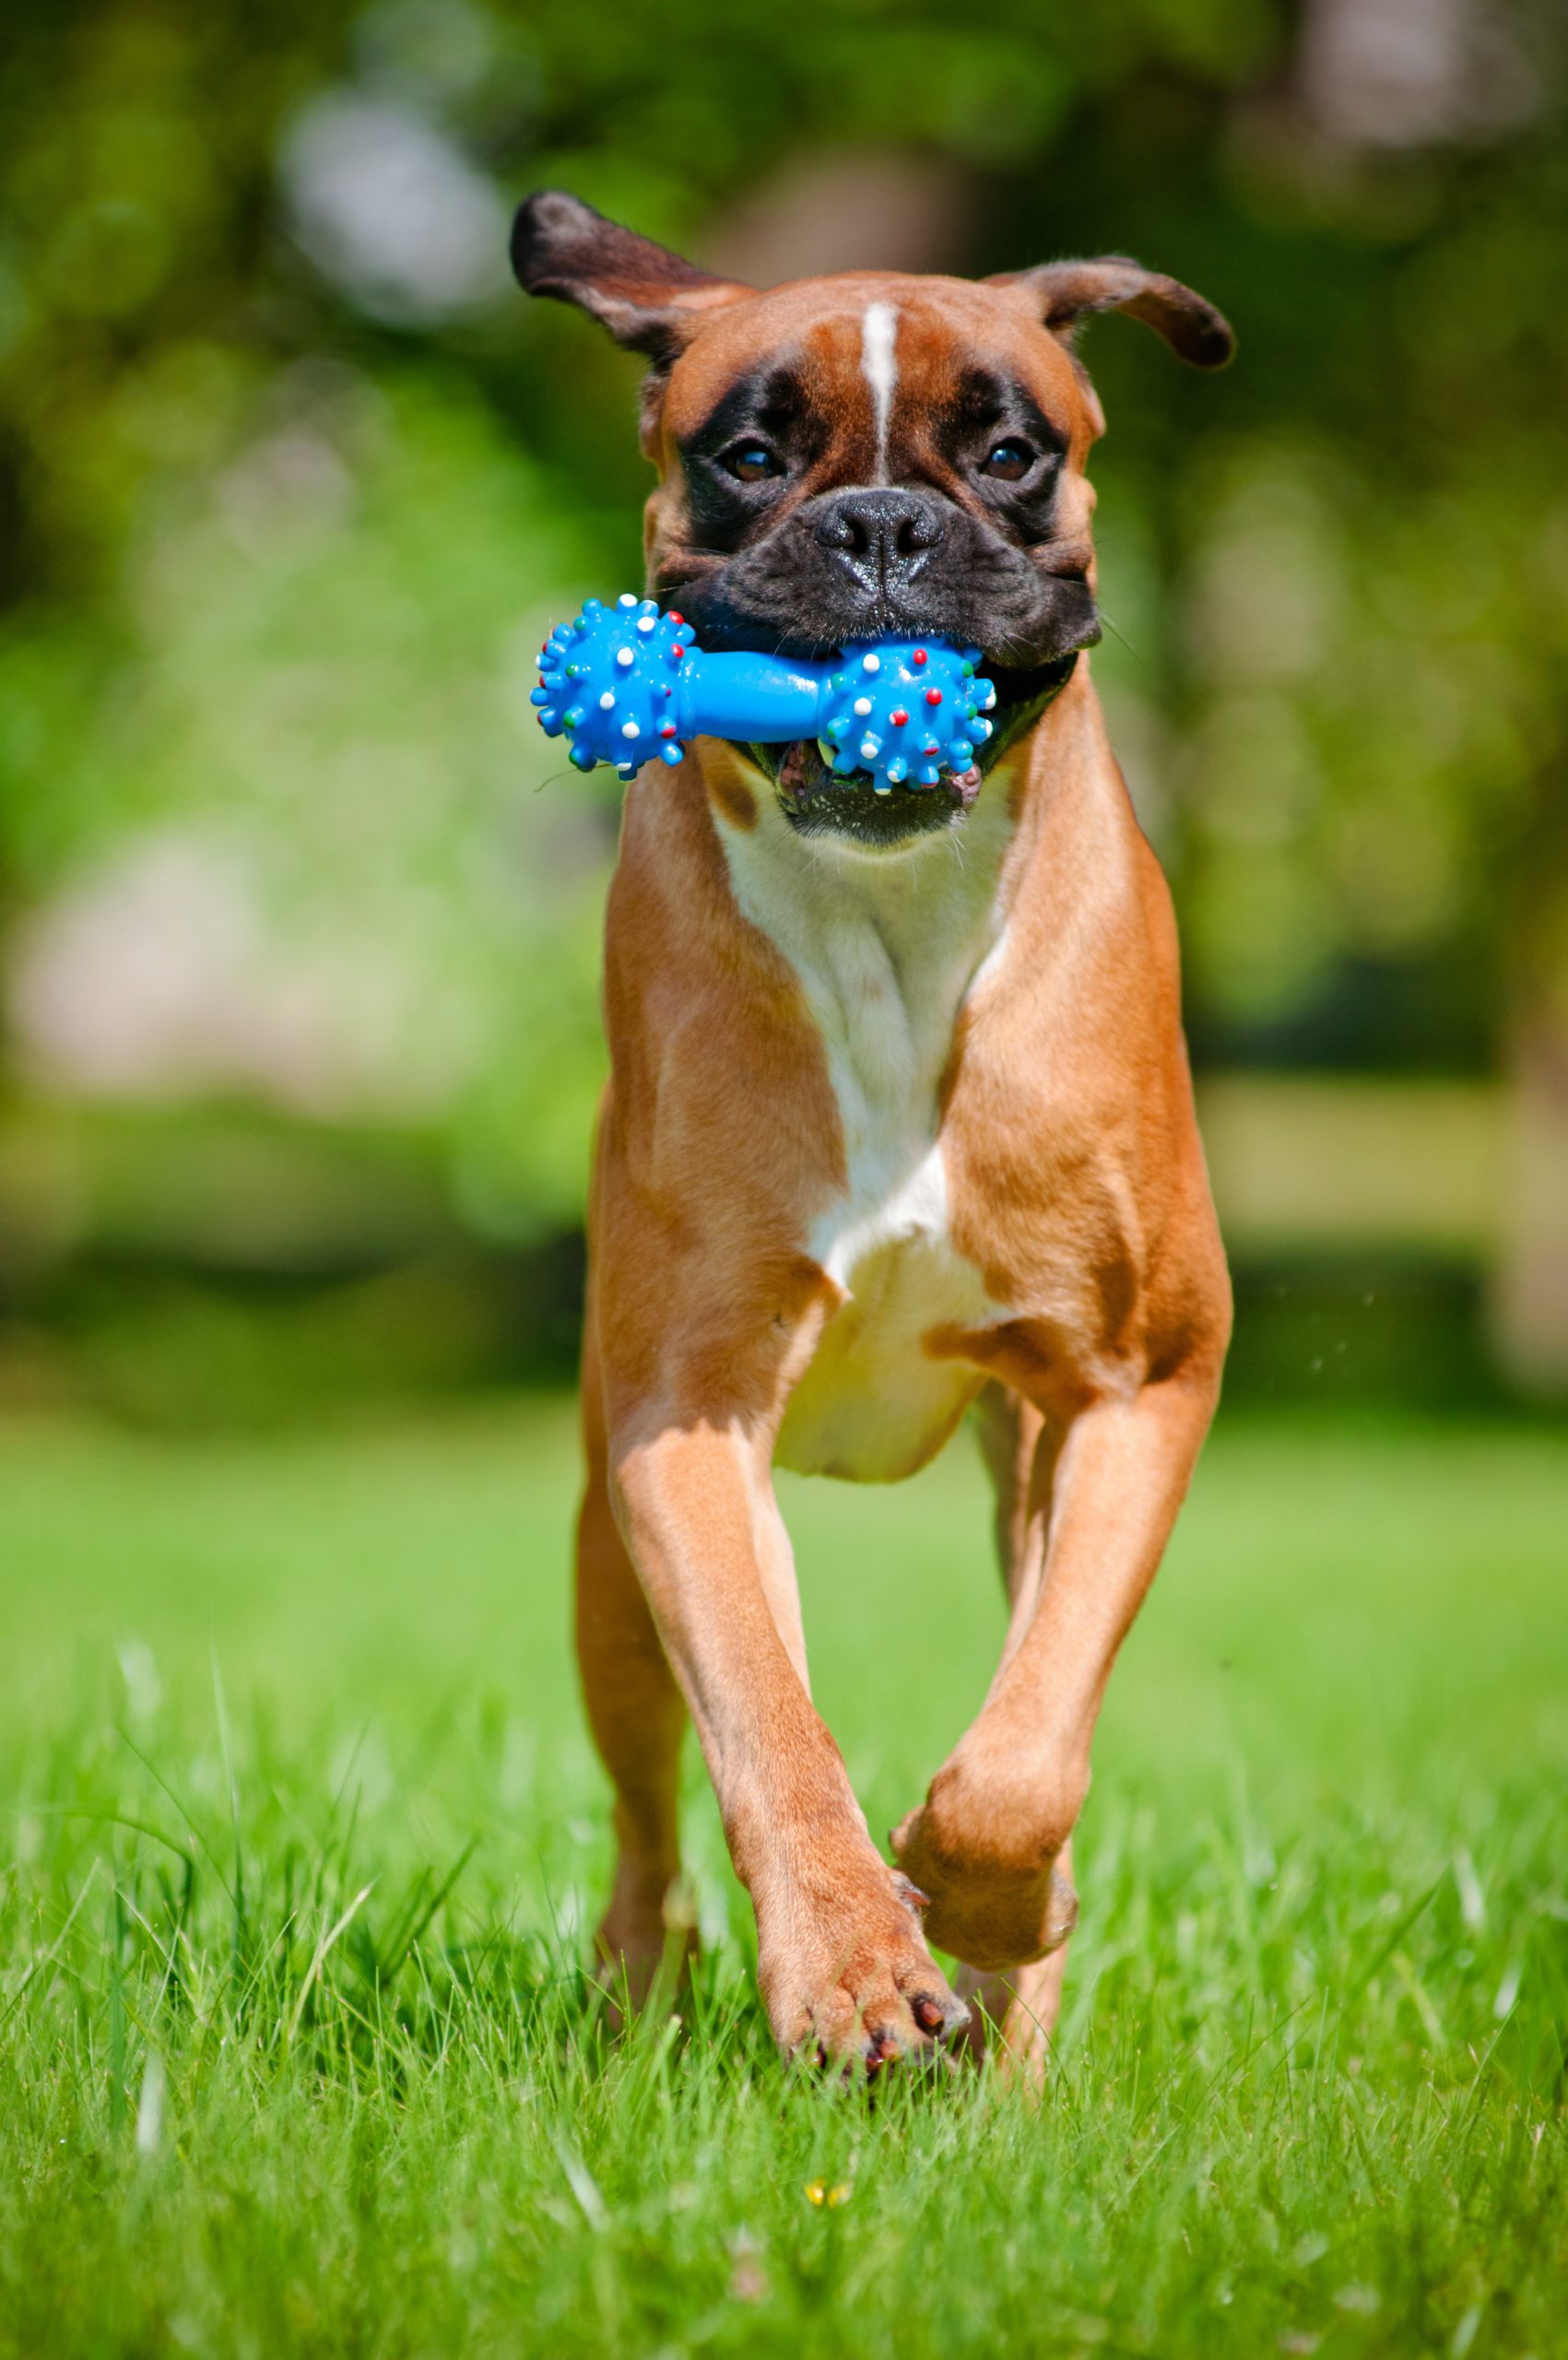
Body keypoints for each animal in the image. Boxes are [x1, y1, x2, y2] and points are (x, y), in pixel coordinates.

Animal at [507, 193, 1228, 2076]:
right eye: (750, 455)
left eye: (1009, 452)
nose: (886, 526)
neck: (898, 928)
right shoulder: (684, 1429)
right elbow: (769, 1715)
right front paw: (846, 1962)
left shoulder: (1135, 1389)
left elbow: (1026, 1753)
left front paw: (986, 1909)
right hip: (601, 1568)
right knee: (650, 1822)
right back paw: (644, 1986)